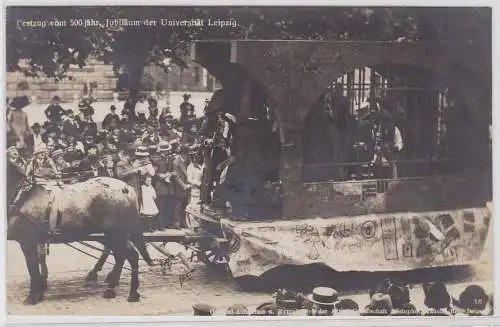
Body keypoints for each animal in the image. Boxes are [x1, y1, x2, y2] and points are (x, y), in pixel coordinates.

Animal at [6, 170, 152, 306]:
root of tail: (127, 188)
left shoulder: (28, 242)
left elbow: (32, 269)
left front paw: (32, 297)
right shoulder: (36, 241)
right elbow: (38, 263)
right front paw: (39, 291)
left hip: (116, 234)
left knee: (130, 255)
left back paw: (132, 293)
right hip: (113, 235)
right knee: (121, 255)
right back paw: (111, 288)